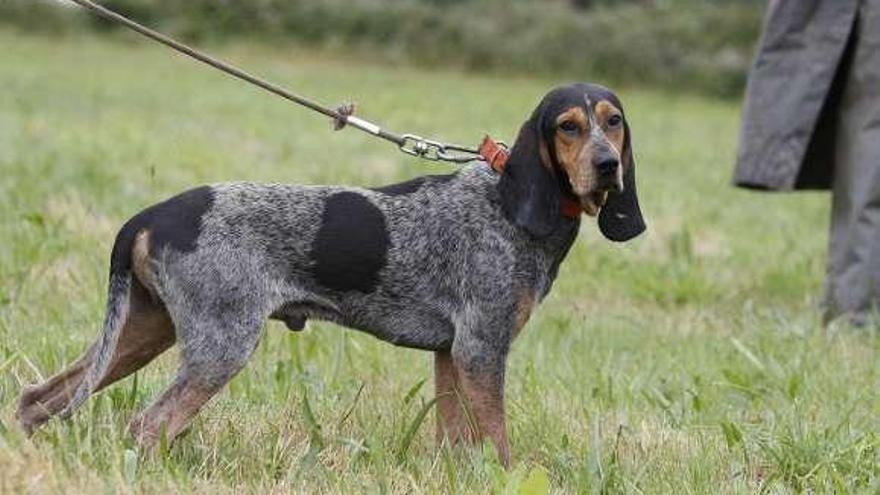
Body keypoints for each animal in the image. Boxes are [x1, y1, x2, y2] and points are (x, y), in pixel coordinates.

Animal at [17, 83, 644, 466]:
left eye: (614, 123)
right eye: (567, 127)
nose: (607, 165)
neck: (509, 204)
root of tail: (150, 215)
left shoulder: (452, 355)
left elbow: (457, 443)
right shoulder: (481, 350)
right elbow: (499, 444)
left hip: (142, 333)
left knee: (38, 399)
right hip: (220, 344)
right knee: (150, 425)